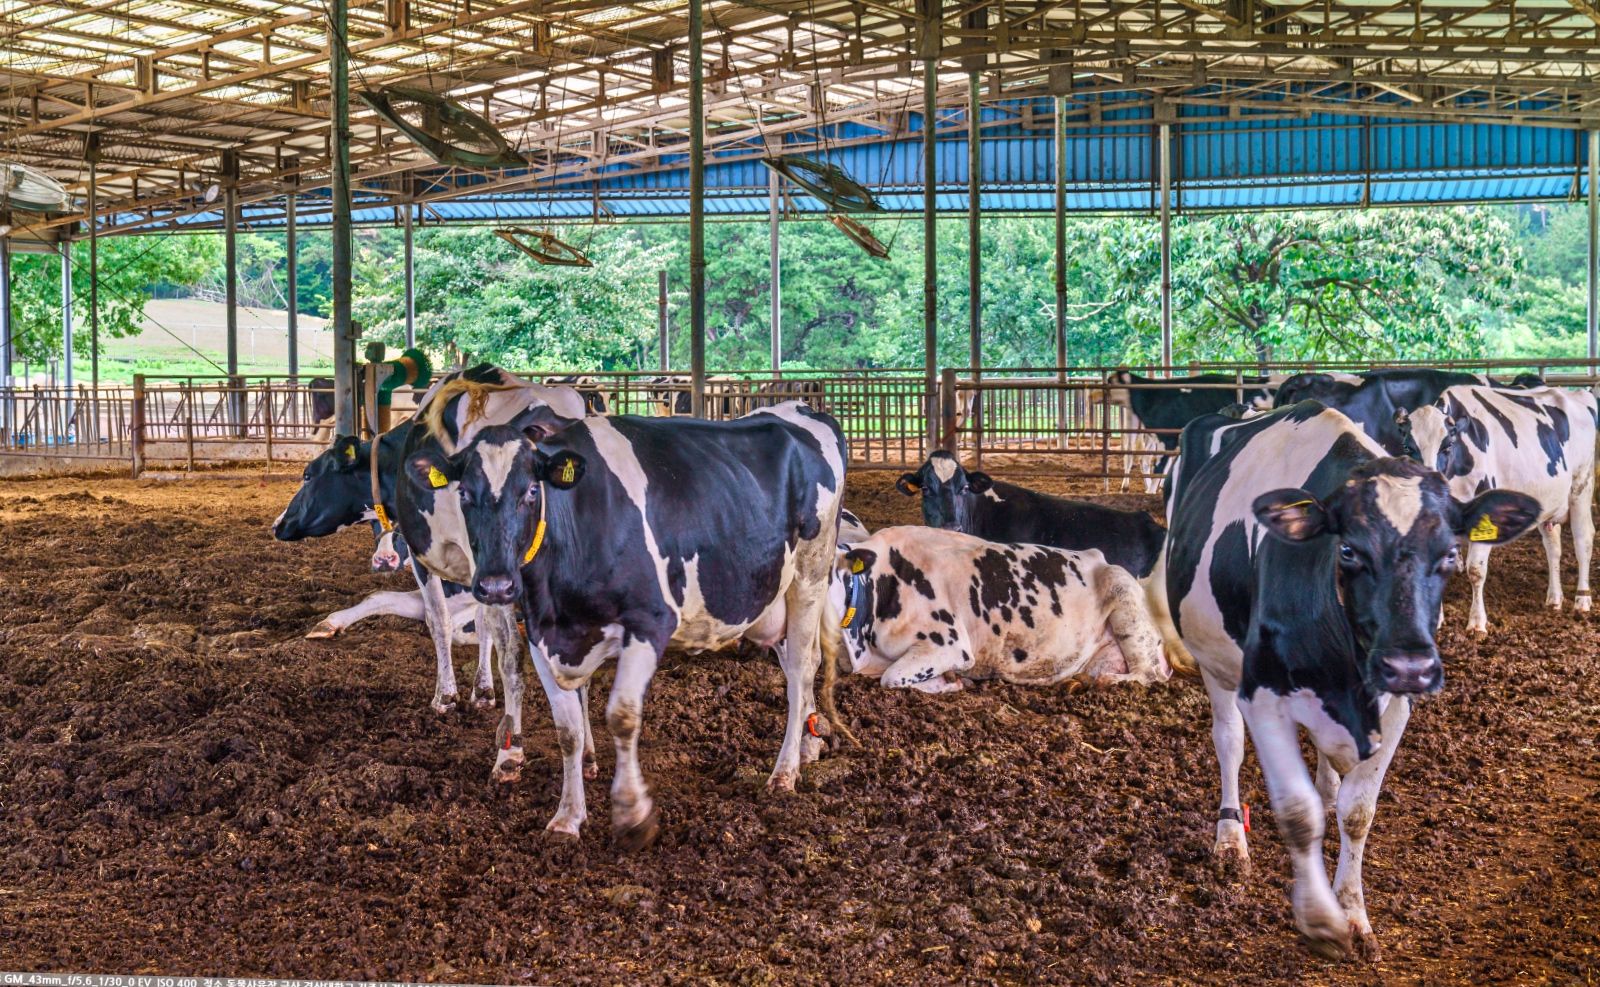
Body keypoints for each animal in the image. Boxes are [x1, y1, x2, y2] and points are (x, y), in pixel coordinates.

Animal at [404, 401, 847, 848]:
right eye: (463, 493)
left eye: (530, 491)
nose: (496, 584)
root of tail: (802, 410)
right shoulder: (542, 636)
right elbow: (567, 731)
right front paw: (567, 817)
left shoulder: (650, 623)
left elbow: (622, 715)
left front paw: (634, 814)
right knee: (798, 664)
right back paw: (808, 746)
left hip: (810, 574)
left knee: (800, 671)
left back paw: (784, 772)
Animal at [826, 526, 1170, 693]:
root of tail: (1099, 556)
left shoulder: (951, 644)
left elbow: (891, 676)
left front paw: (949, 683)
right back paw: (1078, 681)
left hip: (1124, 598)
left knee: (1149, 673)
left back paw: (1109, 682)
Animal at [1158, 400, 1539, 956]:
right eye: (1348, 551)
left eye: (1450, 553)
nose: (1410, 667)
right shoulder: (1262, 693)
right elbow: (1296, 809)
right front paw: (1320, 919)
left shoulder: (1395, 705)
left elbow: (1357, 812)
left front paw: (1354, 915)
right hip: (1214, 662)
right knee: (1228, 741)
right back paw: (1231, 840)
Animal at [1401, 384, 1598, 635]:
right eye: (1408, 447)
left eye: (1447, 446)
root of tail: (1576, 392)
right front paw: (1436, 619)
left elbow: (1476, 570)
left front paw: (1477, 623)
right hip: (1548, 502)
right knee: (1553, 546)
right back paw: (1554, 599)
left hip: (1581, 485)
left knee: (1583, 539)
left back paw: (1582, 600)